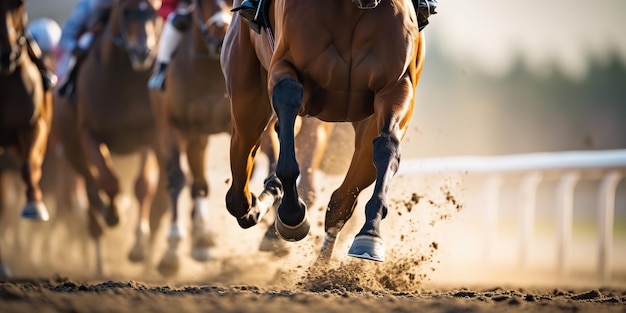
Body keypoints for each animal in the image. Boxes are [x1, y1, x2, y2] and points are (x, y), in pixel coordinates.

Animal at [54, 0, 163, 276]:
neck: (124, 79)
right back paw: (100, 263)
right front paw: (113, 212)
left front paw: (139, 242)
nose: (143, 52)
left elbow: (143, 185)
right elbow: (109, 181)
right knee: (91, 190)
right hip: (73, 149)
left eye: (154, 11)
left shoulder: (150, 135)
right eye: (126, 11)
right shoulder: (90, 135)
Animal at [221, 0, 424, 260]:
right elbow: (287, 98)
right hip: (246, 95)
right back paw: (255, 205)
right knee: (242, 157)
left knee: (342, 198)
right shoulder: (286, 68)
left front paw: (370, 234)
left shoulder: (396, 87)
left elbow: (386, 148)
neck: (352, 7)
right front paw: (291, 214)